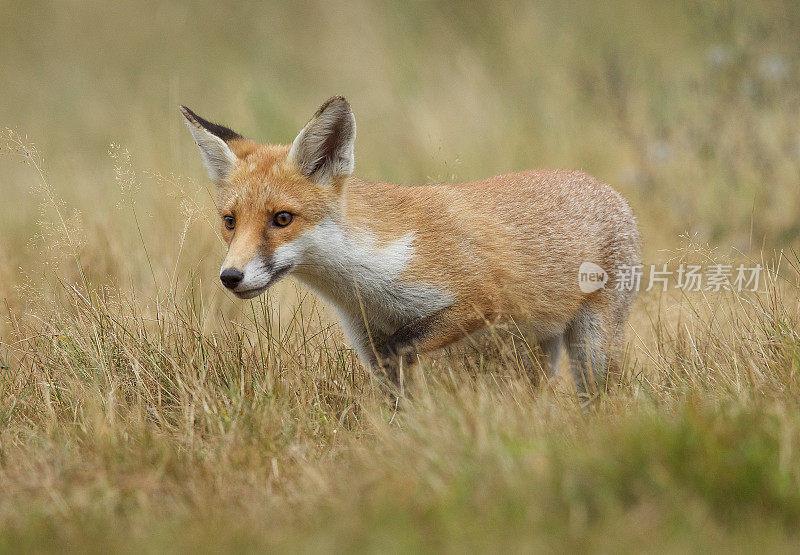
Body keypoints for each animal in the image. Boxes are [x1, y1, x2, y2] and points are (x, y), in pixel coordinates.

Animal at [178, 96, 640, 400]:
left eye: (282, 219)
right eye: (230, 222)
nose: (230, 277)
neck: (365, 281)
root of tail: (603, 186)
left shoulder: (474, 300)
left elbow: (404, 347)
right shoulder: (369, 342)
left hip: (592, 349)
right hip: (538, 348)